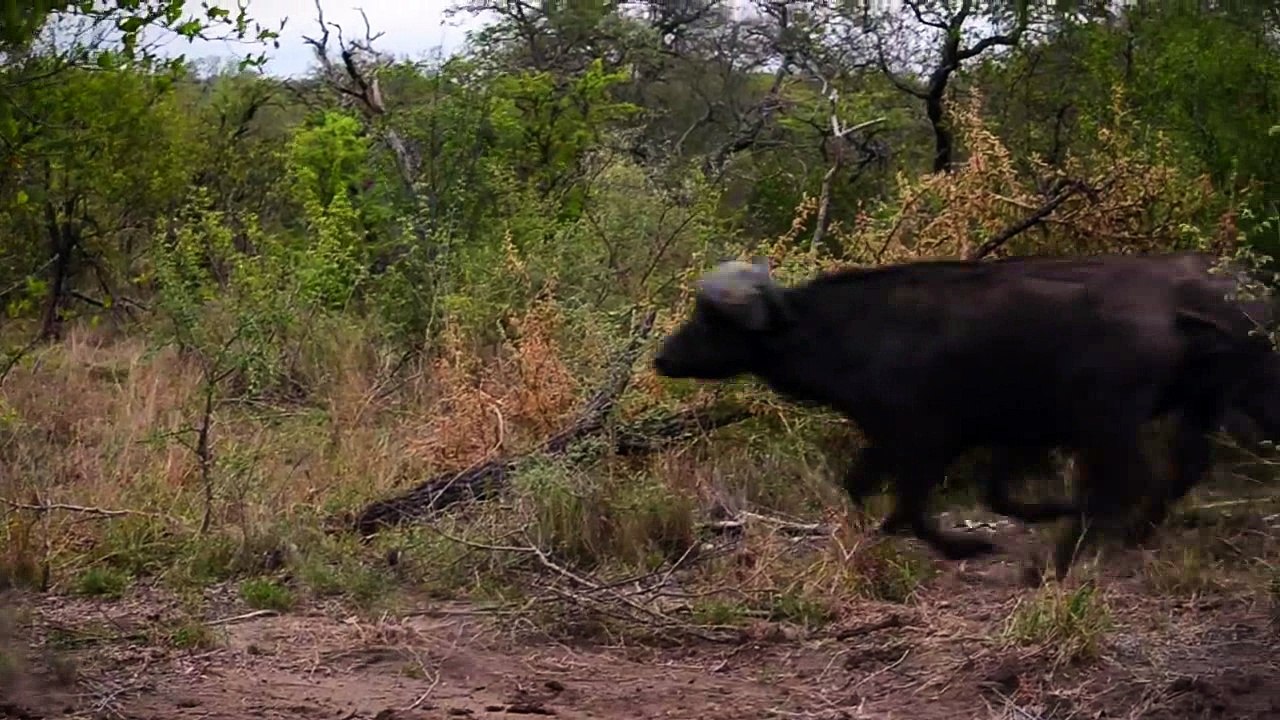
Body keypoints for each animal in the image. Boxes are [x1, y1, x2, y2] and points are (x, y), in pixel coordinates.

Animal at [652, 252, 1275, 577]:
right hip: (1210, 401)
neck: (852, 330)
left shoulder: (926, 438)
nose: (662, 356)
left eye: (711, 321)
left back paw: (1058, 561)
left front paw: (965, 547)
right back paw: (1131, 533)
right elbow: (875, 489)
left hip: (1111, 420)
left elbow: (915, 507)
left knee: (1125, 481)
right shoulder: (967, 435)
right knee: (1181, 469)